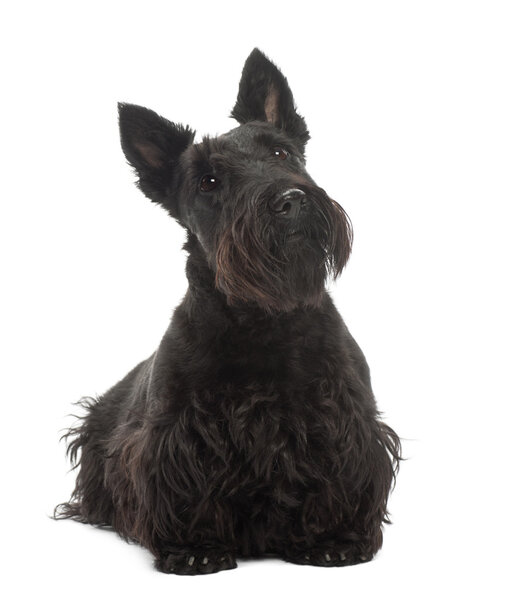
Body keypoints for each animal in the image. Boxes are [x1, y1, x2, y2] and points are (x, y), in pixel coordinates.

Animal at [56, 49, 400, 576]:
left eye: (280, 153)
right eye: (209, 181)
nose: (291, 200)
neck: (265, 318)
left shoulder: (347, 421)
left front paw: (334, 539)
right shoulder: (176, 433)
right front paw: (196, 548)